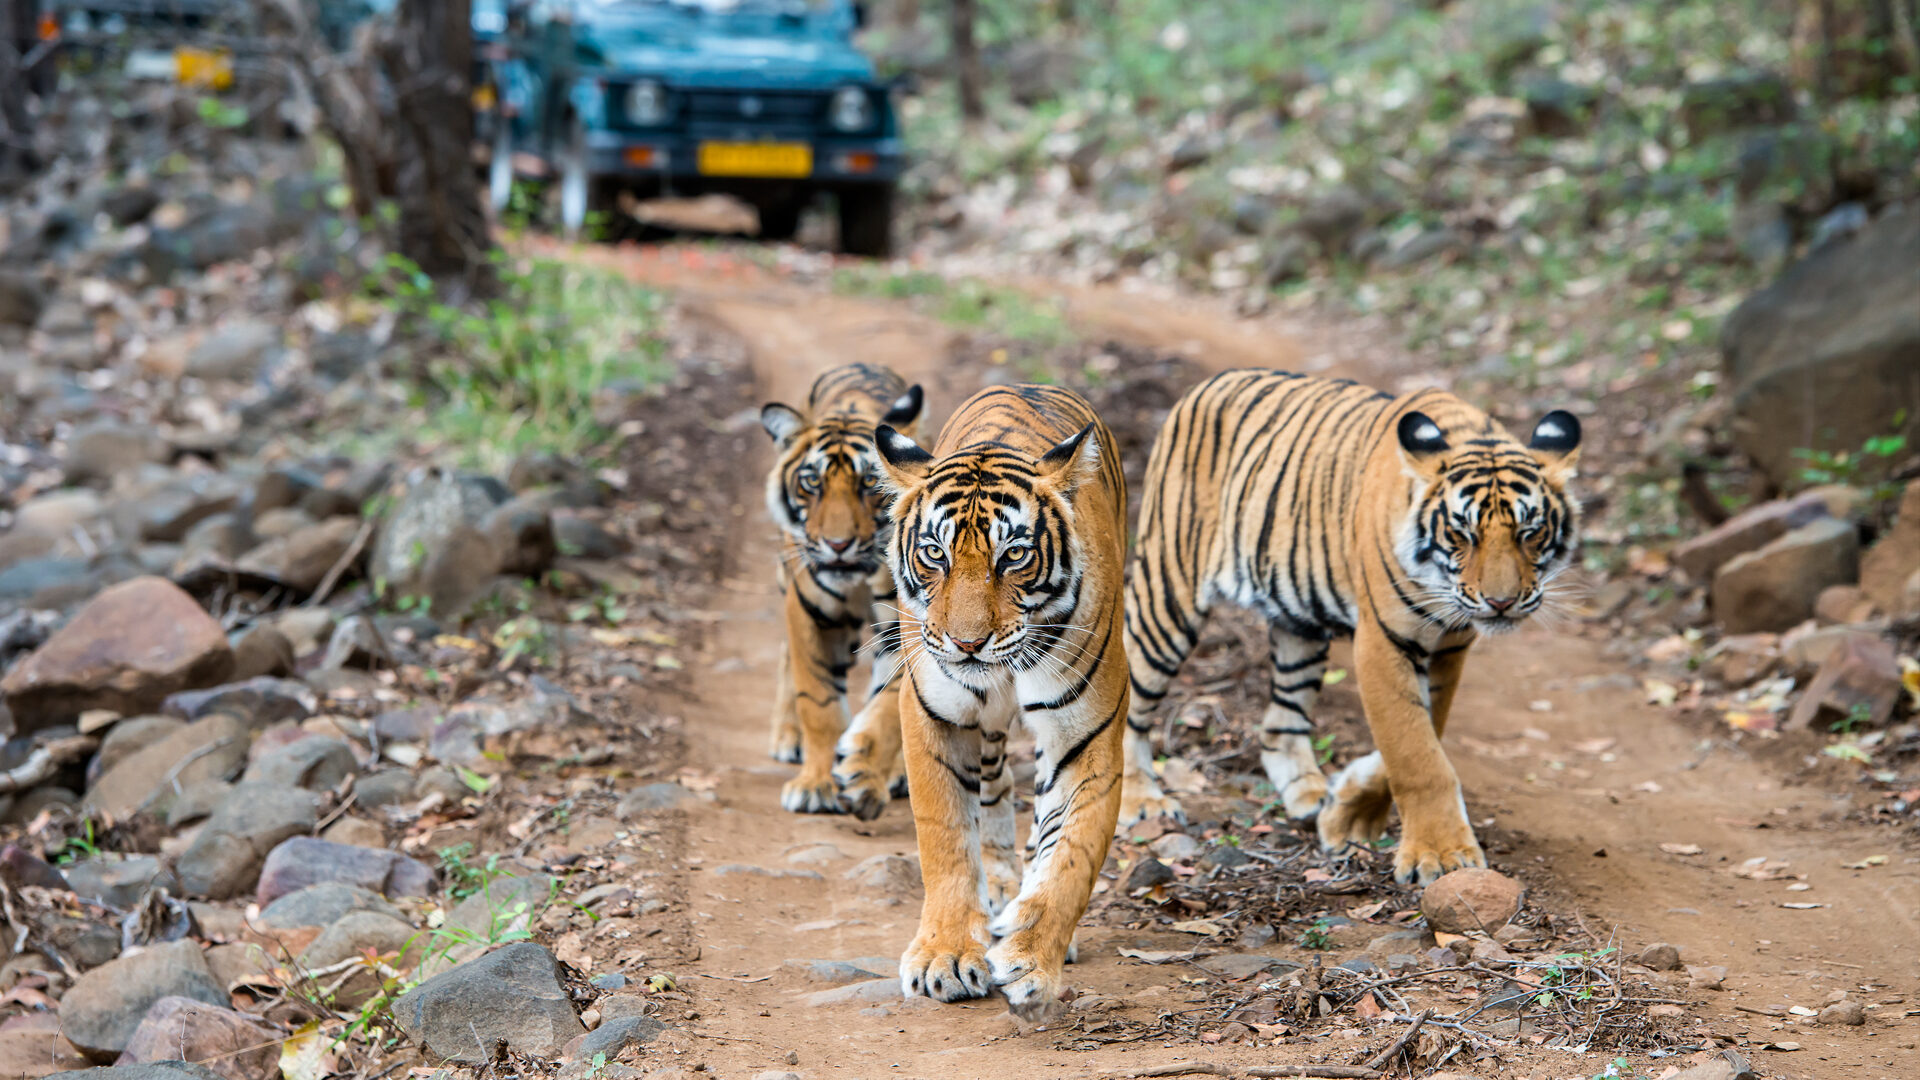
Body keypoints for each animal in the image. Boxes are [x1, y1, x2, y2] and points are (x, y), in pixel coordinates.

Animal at [756, 359, 921, 807]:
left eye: (869, 484)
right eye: (812, 482)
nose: (838, 544)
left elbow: (889, 704)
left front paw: (866, 774)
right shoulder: (811, 613)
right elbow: (818, 701)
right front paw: (815, 785)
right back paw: (788, 738)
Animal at [879, 382, 1128, 1014]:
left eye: (1013, 555)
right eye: (934, 553)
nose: (968, 643)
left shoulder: (1086, 738)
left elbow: (1070, 856)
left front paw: (1031, 958)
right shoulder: (934, 717)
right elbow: (945, 838)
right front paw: (944, 956)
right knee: (991, 786)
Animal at [1121, 368, 1582, 883]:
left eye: (1530, 532)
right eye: (1461, 533)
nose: (1501, 603)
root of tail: (1208, 383)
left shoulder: (1448, 648)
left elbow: (1427, 732)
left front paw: (1349, 812)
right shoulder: (1383, 641)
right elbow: (1415, 752)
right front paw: (1440, 855)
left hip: (1298, 623)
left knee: (1280, 722)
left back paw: (1308, 796)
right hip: (1166, 594)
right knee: (1129, 701)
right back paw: (1141, 801)